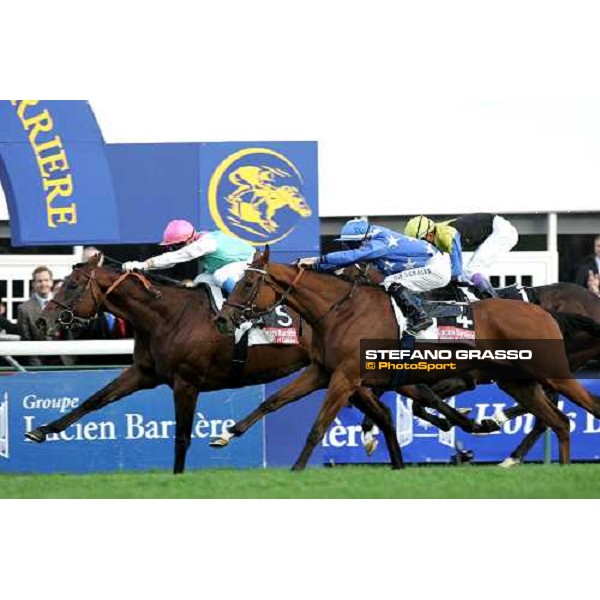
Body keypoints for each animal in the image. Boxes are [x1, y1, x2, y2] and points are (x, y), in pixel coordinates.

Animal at [216, 246, 600, 472]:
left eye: (247, 284)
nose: (222, 319)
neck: (340, 310)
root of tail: (545, 312)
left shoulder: (346, 377)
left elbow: (318, 427)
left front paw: (297, 471)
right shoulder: (323, 371)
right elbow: (273, 402)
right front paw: (228, 434)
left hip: (553, 372)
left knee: (580, 409)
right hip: (517, 381)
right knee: (558, 422)